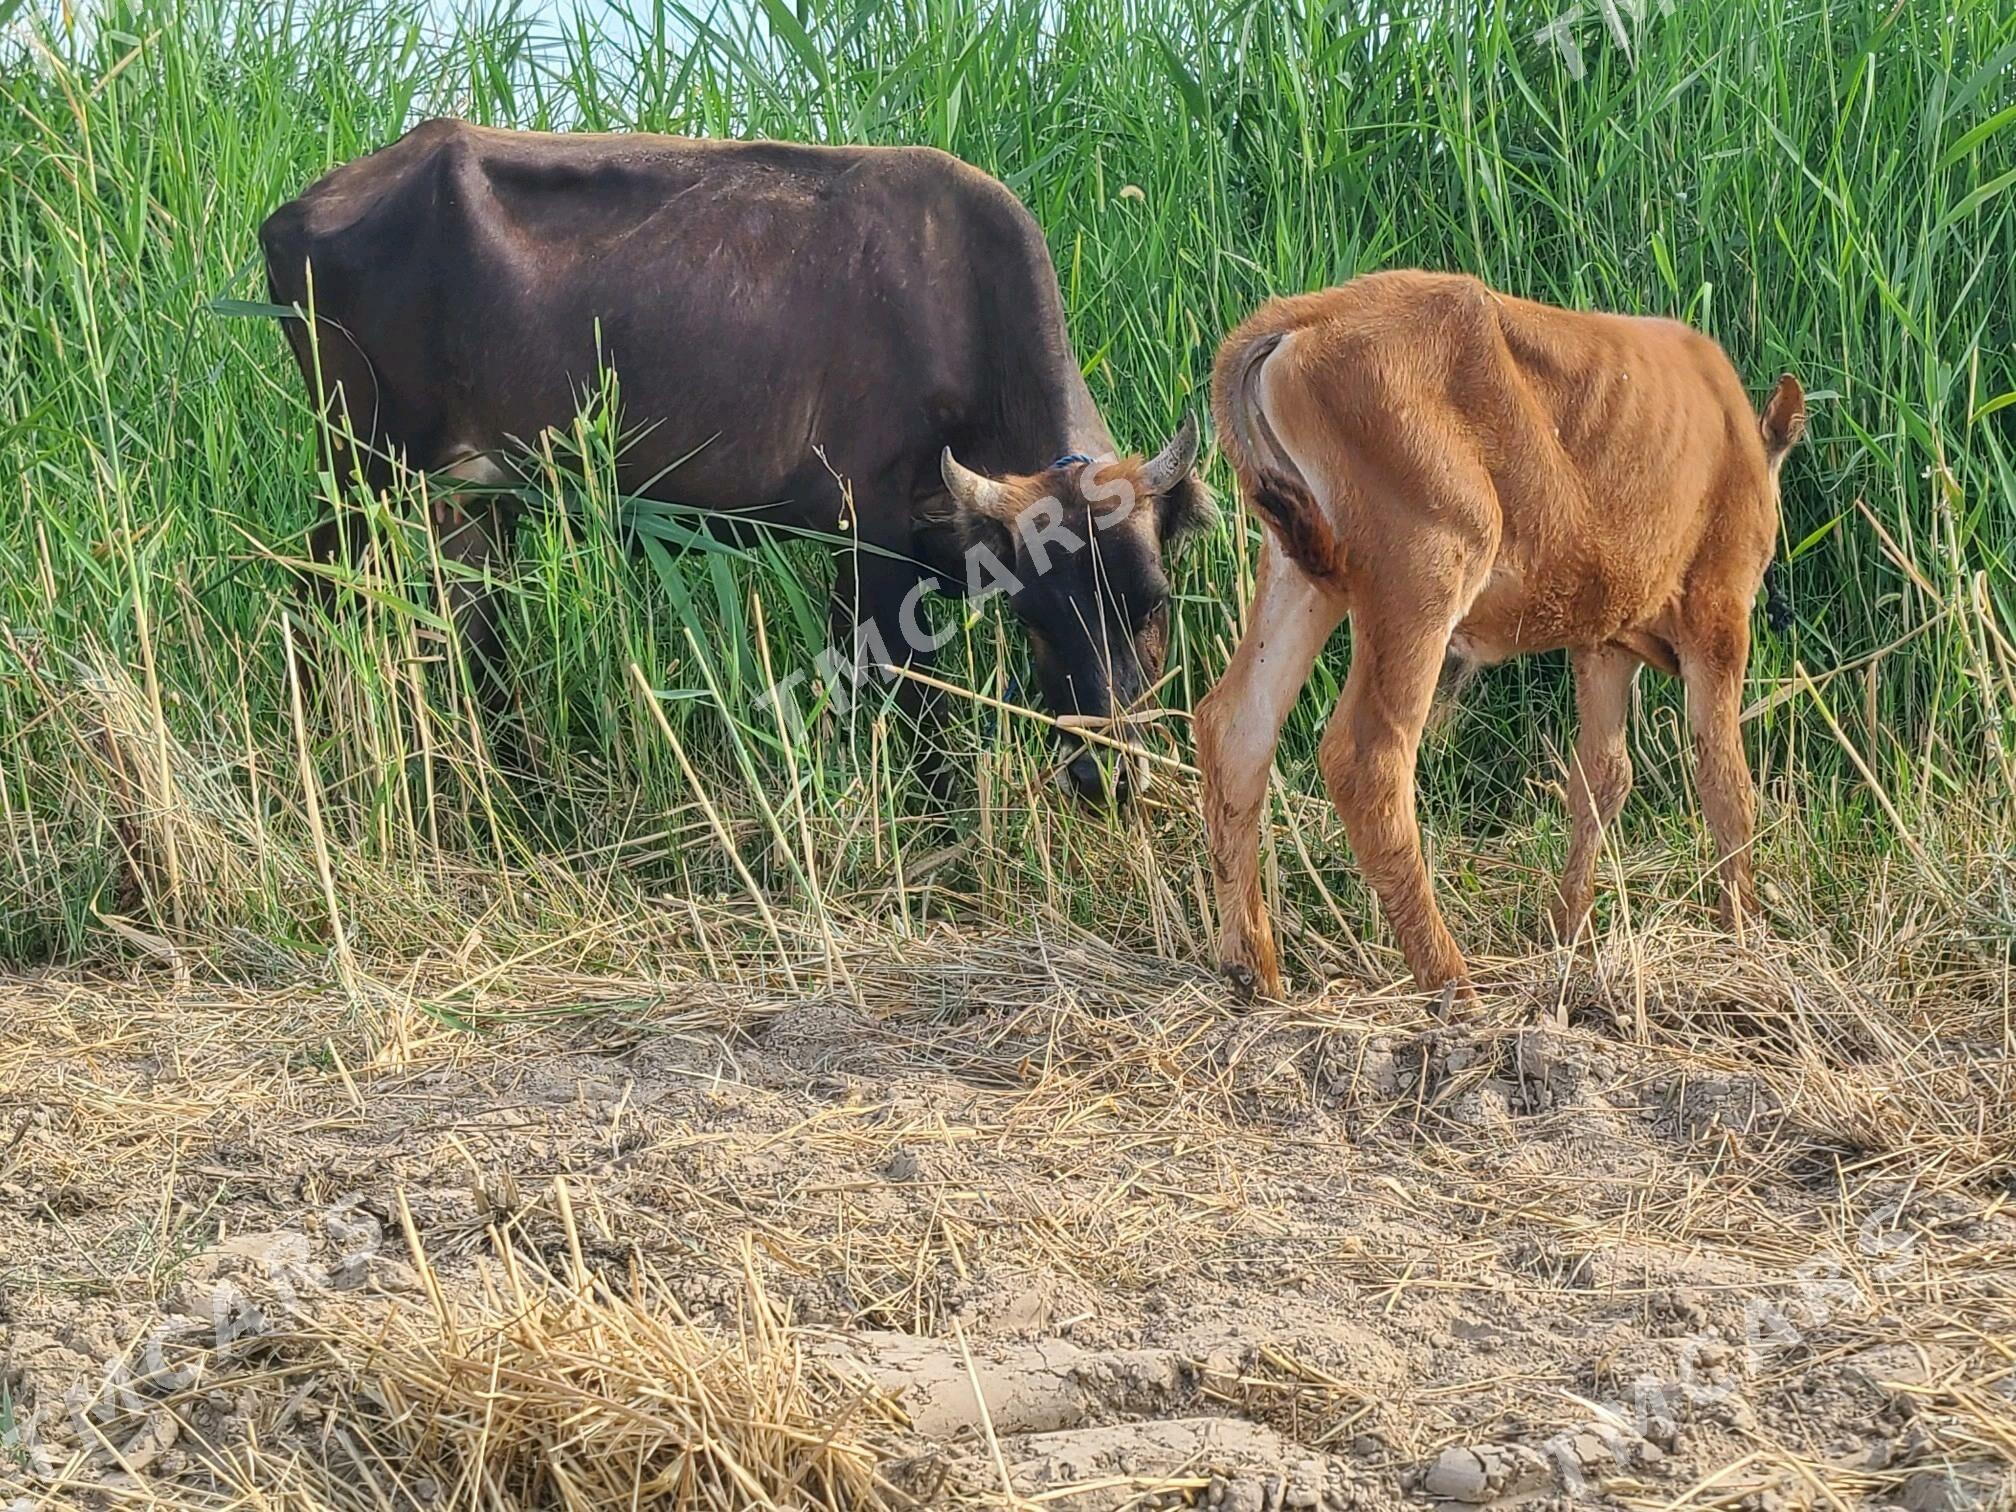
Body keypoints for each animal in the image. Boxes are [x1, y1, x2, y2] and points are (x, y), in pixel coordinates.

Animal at [268, 116, 1209, 798]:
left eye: (1156, 603)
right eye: (1036, 613)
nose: (1108, 777)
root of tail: (298, 211)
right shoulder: (871, 537)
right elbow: (896, 702)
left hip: (468, 498)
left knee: (471, 632)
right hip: (360, 468)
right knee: (313, 599)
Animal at [1193, 272, 1814, 1008]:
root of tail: (1299, 321)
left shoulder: (1602, 640)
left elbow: (1601, 779)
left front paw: (1569, 932)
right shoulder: (1717, 618)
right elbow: (1726, 780)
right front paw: (1744, 932)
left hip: (1303, 577)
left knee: (1238, 729)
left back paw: (1251, 969)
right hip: (1425, 573)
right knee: (1367, 758)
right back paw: (1451, 982)